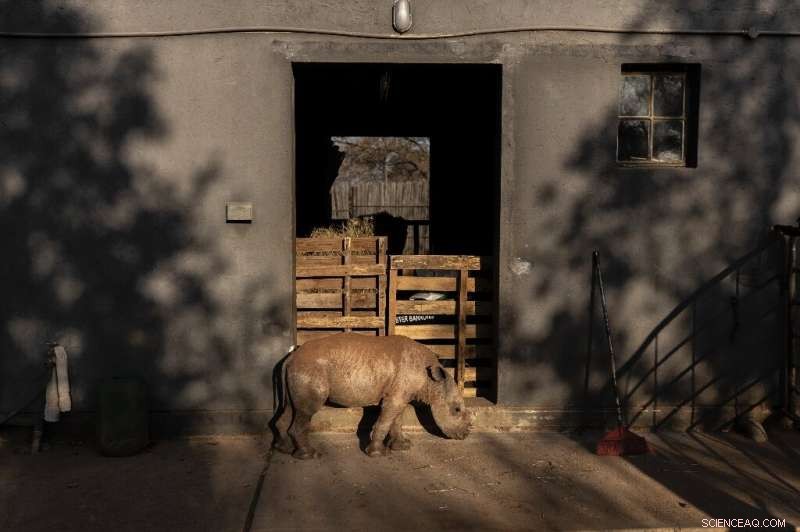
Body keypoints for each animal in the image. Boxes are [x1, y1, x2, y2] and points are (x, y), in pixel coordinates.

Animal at [272, 333, 472, 459]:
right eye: (456, 410)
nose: (464, 435)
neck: (431, 380)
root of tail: (290, 358)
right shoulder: (396, 397)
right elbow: (385, 421)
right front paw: (377, 454)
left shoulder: (400, 394)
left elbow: (396, 420)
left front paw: (402, 446)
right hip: (309, 369)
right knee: (307, 410)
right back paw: (310, 455)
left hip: (300, 370)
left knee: (290, 408)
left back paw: (284, 449)